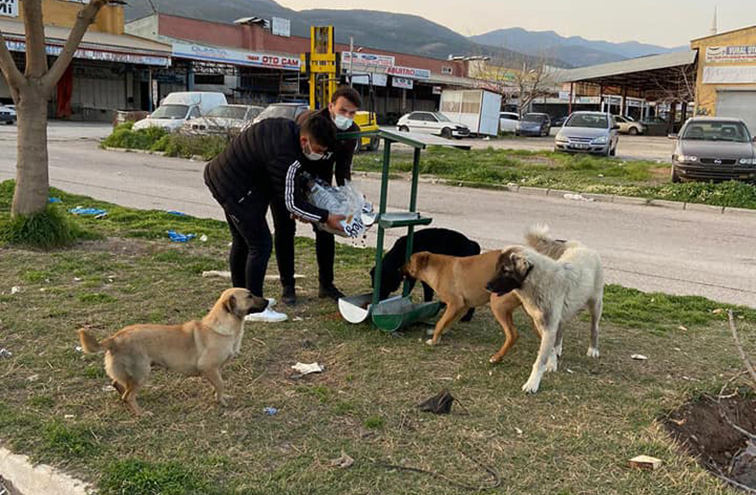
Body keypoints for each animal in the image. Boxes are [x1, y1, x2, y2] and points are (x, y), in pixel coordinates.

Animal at [78, 288, 268, 416]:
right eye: (250, 296)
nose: (268, 301)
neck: (221, 326)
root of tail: (114, 339)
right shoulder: (209, 367)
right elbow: (220, 384)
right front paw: (221, 401)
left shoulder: (214, 370)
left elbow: (218, 385)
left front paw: (220, 396)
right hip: (142, 372)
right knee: (128, 396)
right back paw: (141, 413)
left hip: (130, 374)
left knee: (119, 386)